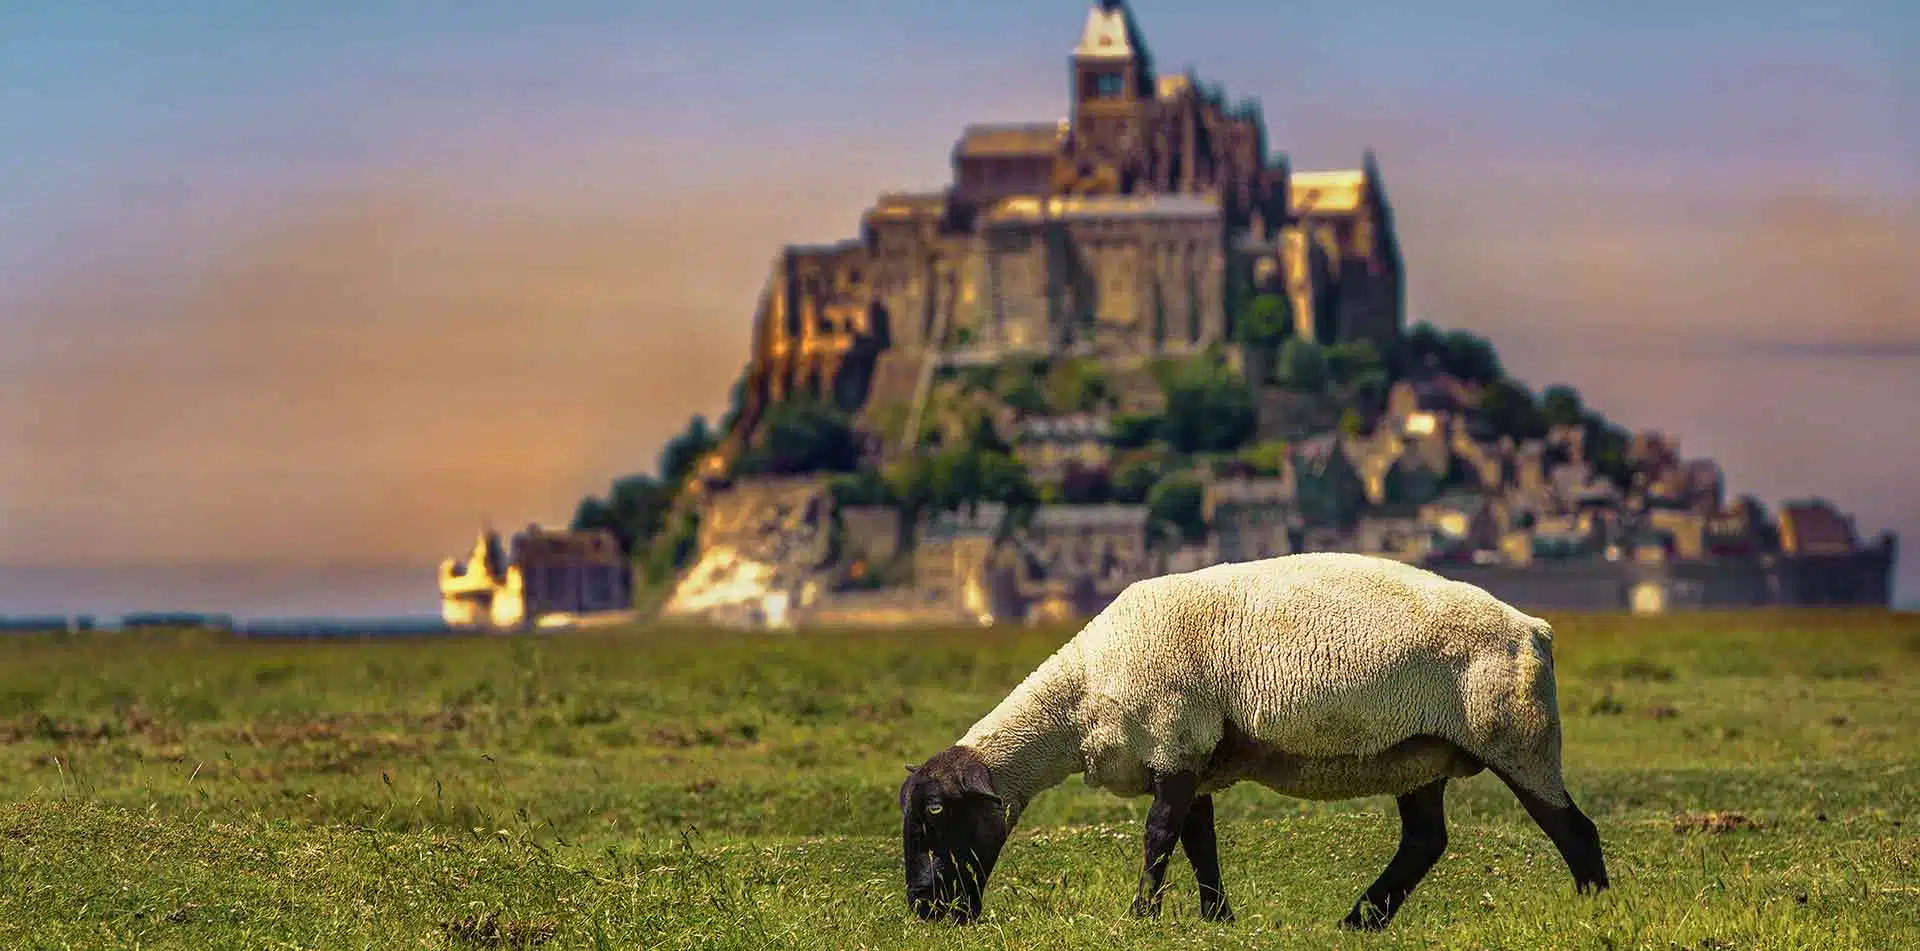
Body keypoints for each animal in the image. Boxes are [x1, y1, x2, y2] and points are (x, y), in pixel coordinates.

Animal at [894, 549, 1605, 929]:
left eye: (937, 816)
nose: (924, 909)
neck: (1079, 696)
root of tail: (1534, 628)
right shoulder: (1190, 758)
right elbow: (1197, 842)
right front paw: (1217, 919)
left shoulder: (1175, 743)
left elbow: (1158, 837)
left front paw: (1141, 917)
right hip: (1420, 753)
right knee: (1425, 841)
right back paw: (1357, 922)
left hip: (1517, 737)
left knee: (1574, 829)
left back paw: (1593, 908)